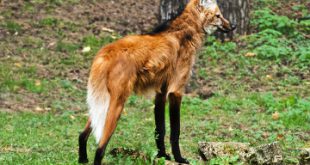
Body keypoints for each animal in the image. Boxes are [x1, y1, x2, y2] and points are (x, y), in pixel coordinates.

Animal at [78, 0, 236, 164]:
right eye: (218, 16)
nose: (233, 26)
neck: (187, 32)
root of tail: (105, 53)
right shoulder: (176, 91)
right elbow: (175, 130)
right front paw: (179, 158)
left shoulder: (161, 91)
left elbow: (160, 128)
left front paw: (163, 156)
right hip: (117, 104)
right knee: (100, 147)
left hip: (102, 102)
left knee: (82, 134)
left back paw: (82, 158)